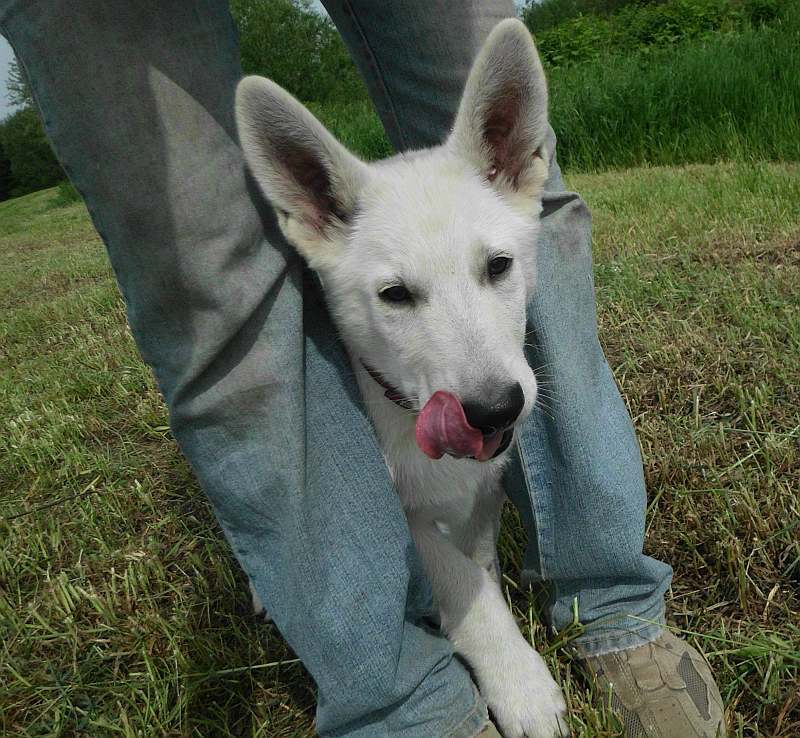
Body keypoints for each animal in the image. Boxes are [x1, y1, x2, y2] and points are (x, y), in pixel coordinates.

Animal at [236, 17, 568, 736]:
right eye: (394, 296)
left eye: (499, 266)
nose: (495, 409)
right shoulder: (400, 517)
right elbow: (461, 583)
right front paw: (522, 684)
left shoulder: (481, 493)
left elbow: (478, 567)